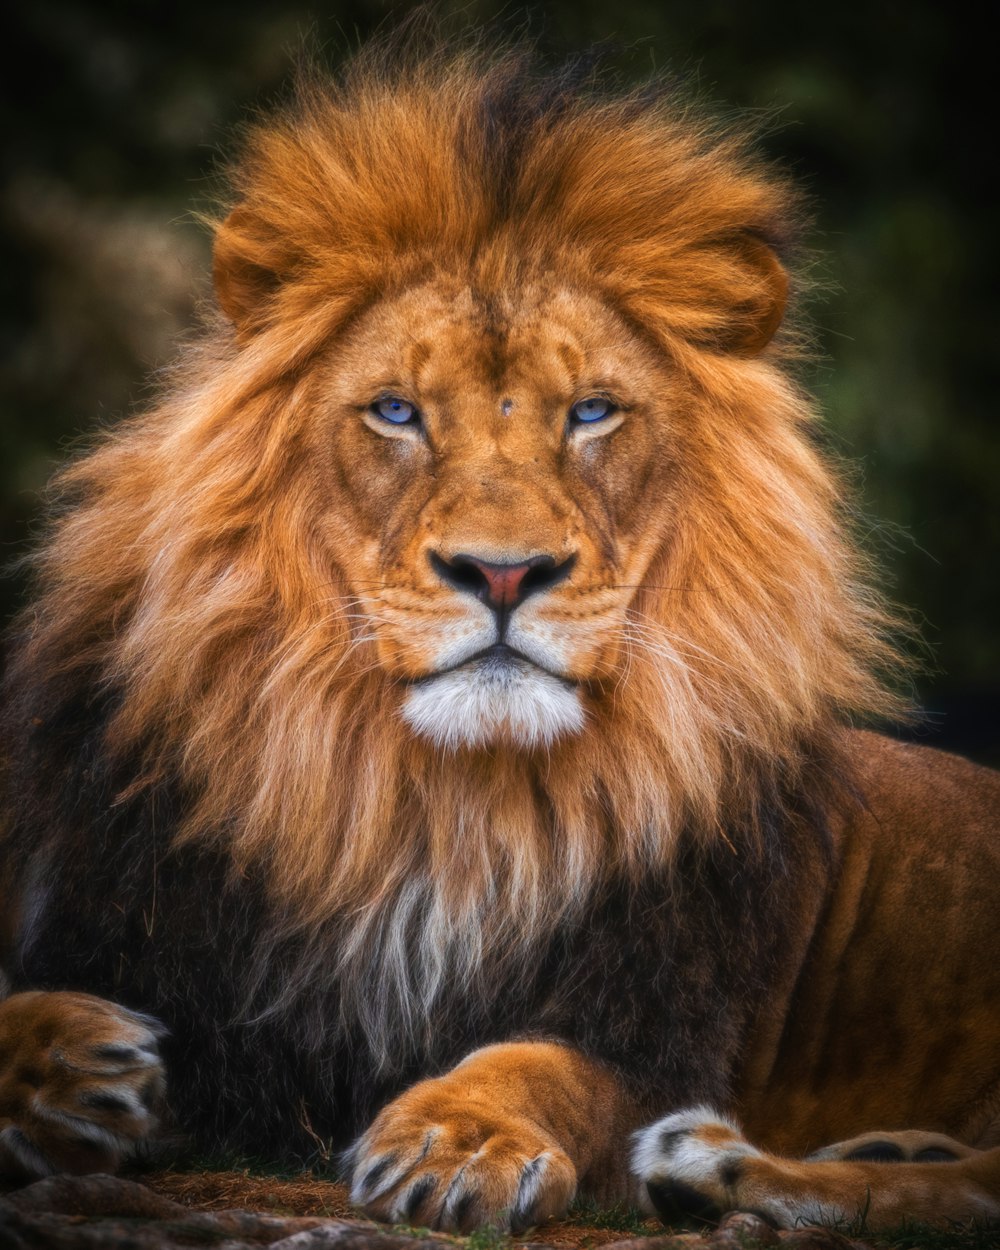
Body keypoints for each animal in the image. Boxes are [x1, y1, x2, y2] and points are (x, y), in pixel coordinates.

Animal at [1, 36, 1000, 1230]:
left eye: (592, 412)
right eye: (395, 412)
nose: (504, 571)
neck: (433, 809)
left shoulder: (655, 1022)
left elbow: (540, 1064)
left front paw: (457, 1138)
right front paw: (69, 1063)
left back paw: (715, 1164)